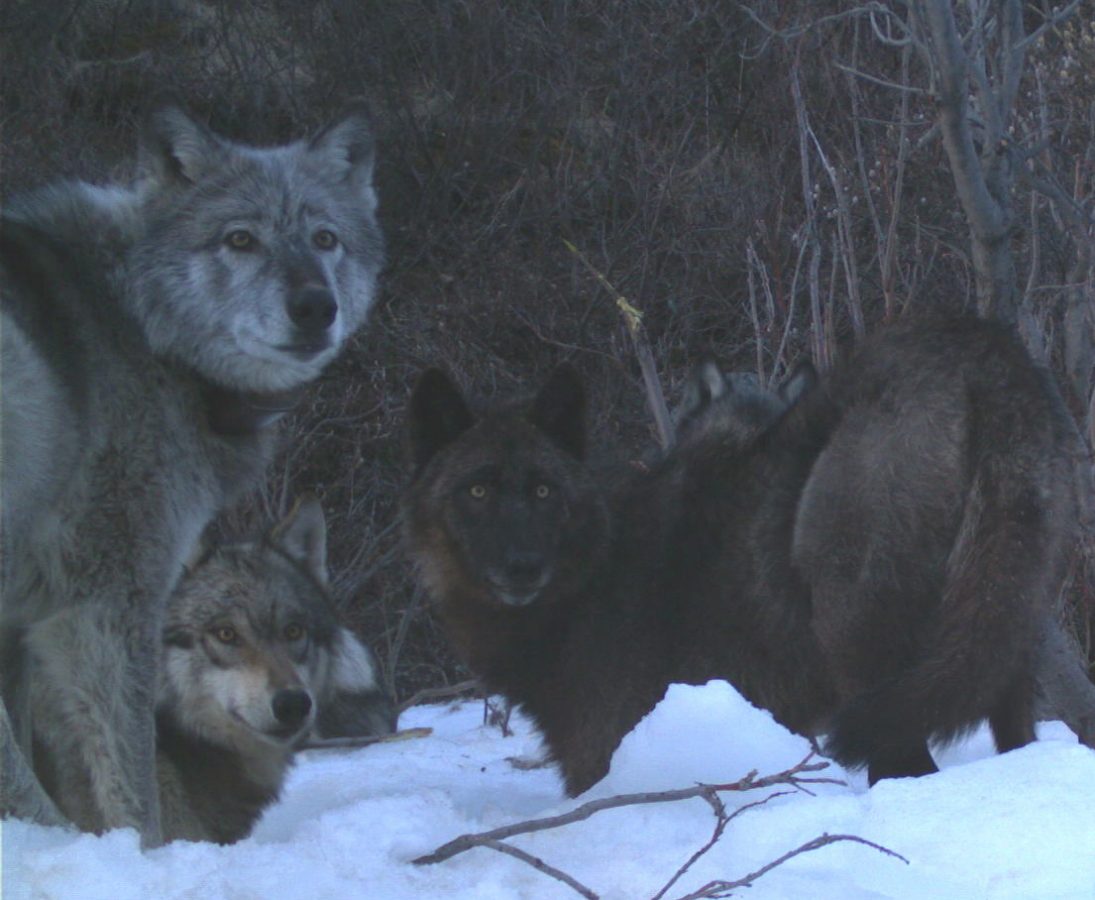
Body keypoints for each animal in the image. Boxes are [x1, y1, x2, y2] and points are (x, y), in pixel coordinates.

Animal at [0, 103, 384, 844]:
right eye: (240, 239)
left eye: (324, 238)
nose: (314, 305)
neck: (137, 322)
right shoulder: (103, 605)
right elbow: (131, 779)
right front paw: (136, 857)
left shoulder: (23, 622)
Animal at [404, 317, 1078, 793]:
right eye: (477, 490)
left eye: (545, 491)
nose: (521, 566)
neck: (595, 566)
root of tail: (977, 345)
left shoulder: (604, 755)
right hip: (1003, 646)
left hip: (864, 657)